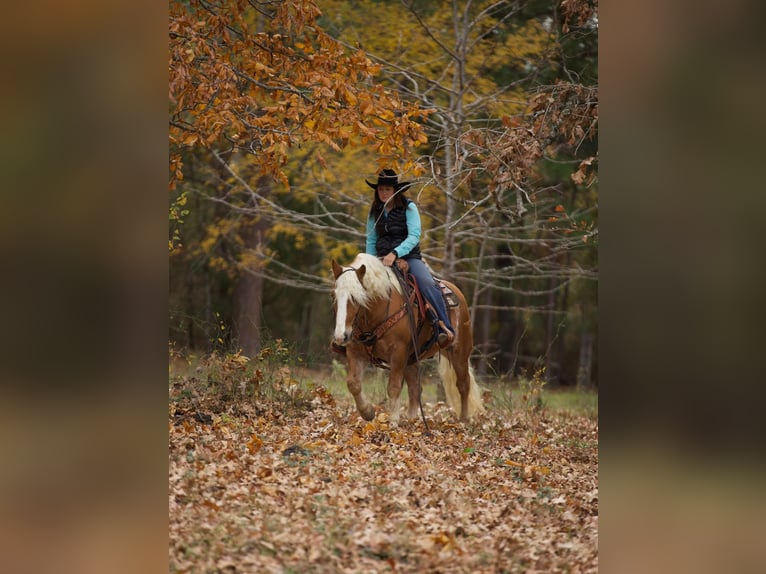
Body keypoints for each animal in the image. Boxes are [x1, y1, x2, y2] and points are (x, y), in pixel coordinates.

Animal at [332, 254, 486, 426]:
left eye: (355, 298)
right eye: (334, 296)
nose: (341, 336)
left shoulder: (398, 353)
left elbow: (393, 387)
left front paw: (393, 421)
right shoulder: (355, 351)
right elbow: (353, 384)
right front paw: (367, 412)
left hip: (459, 352)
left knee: (463, 384)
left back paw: (464, 419)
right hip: (412, 359)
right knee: (415, 388)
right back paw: (411, 419)